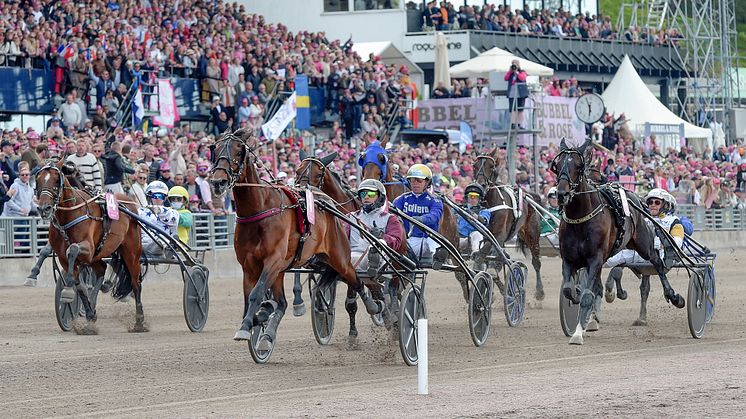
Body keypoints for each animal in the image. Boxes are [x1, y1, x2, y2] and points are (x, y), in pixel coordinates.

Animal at [35, 159, 145, 334]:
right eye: (38, 180)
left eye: (56, 180)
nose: (44, 208)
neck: (68, 216)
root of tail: (129, 202)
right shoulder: (64, 257)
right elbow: (79, 285)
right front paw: (87, 314)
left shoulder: (88, 249)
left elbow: (73, 249)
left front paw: (67, 291)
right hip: (99, 256)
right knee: (102, 269)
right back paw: (93, 308)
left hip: (132, 252)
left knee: (136, 283)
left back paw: (139, 322)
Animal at [209, 129, 384, 358]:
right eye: (215, 149)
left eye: (239, 151)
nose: (218, 182)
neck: (260, 209)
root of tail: (328, 205)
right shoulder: (250, 265)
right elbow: (253, 298)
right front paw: (257, 318)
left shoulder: (273, 260)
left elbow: (256, 294)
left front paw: (249, 324)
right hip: (287, 269)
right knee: (283, 302)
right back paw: (267, 335)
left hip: (338, 257)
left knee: (356, 280)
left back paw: (374, 306)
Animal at [474, 151, 544, 302]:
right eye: (474, 165)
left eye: (491, 166)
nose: (481, 185)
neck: (491, 203)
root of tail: (529, 195)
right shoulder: (487, 234)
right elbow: (489, 256)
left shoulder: (499, 235)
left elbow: (488, 255)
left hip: (532, 233)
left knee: (536, 261)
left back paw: (539, 292)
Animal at [548, 138, 684, 344]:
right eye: (557, 166)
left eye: (578, 166)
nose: (562, 194)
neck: (580, 219)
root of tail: (635, 196)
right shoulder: (569, 260)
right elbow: (569, 290)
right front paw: (579, 301)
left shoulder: (595, 258)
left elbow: (587, 295)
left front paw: (578, 334)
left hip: (643, 243)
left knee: (657, 263)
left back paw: (673, 295)